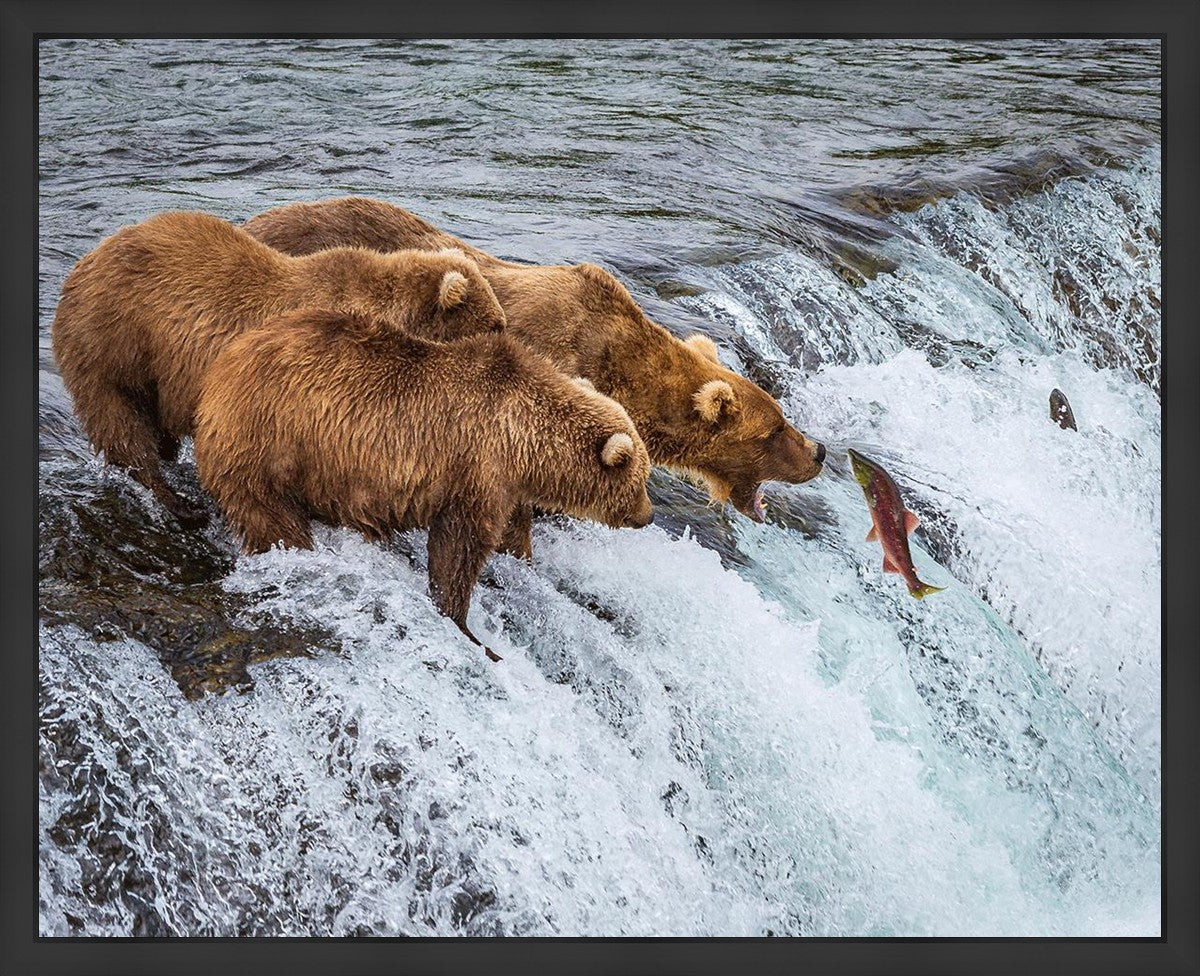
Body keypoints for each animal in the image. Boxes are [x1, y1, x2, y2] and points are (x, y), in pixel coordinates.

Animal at [50, 210, 507, 528]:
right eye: (495, 324)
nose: (508, 339)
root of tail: (83, 263)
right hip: (114, 342)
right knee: (121, 423)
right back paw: (178, 503)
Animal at [193, 308, 655, 660]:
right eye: (641, 479)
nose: (648, 516)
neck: (523, 439)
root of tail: (219, 372)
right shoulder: (475, 467)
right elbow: (459, 547)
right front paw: (467, 627)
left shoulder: (504, 484)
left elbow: (510, 534)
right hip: (269, 442)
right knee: (271, 517)